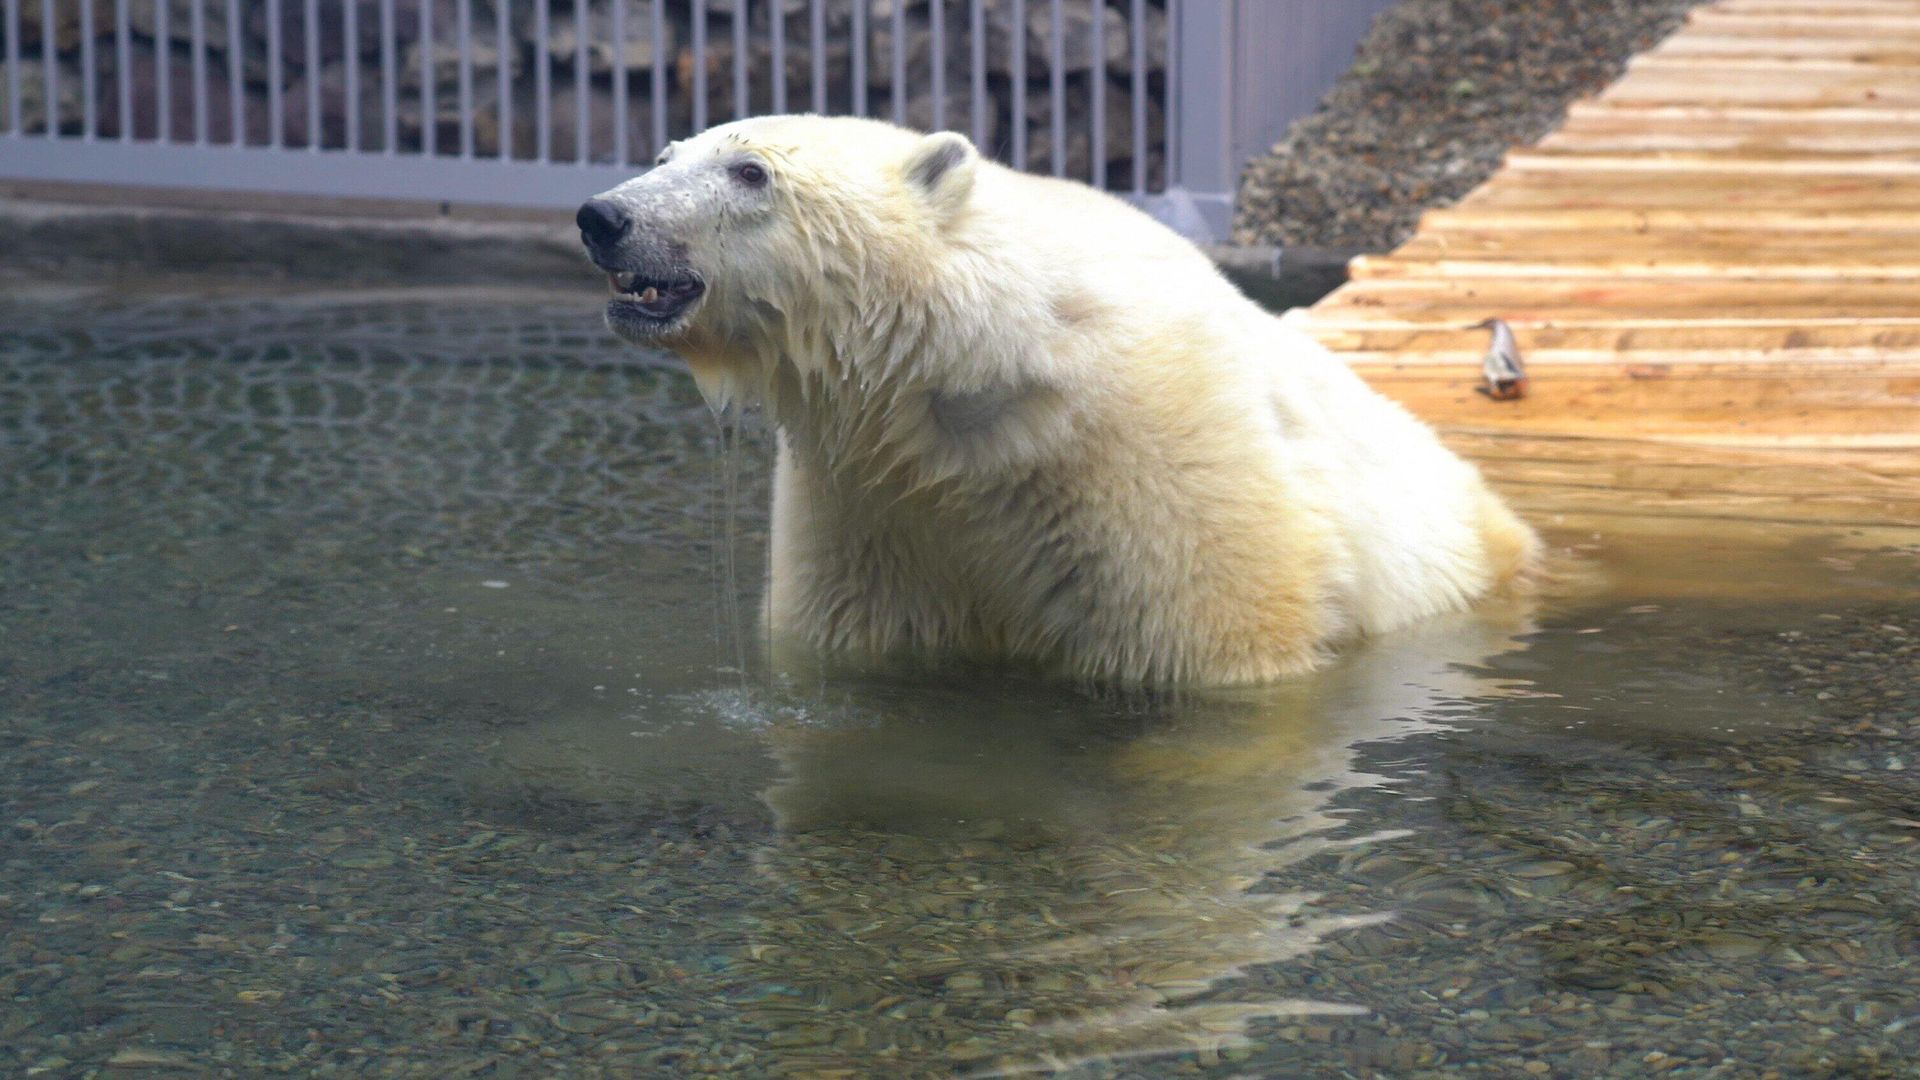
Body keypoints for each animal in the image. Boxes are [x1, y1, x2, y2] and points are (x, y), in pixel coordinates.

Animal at [577, 115, 1538, 686]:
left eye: (750, 172)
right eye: (664, 156)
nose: (604, 217)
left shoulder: (1160, 455)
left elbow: (1217, 632)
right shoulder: (867, 495)